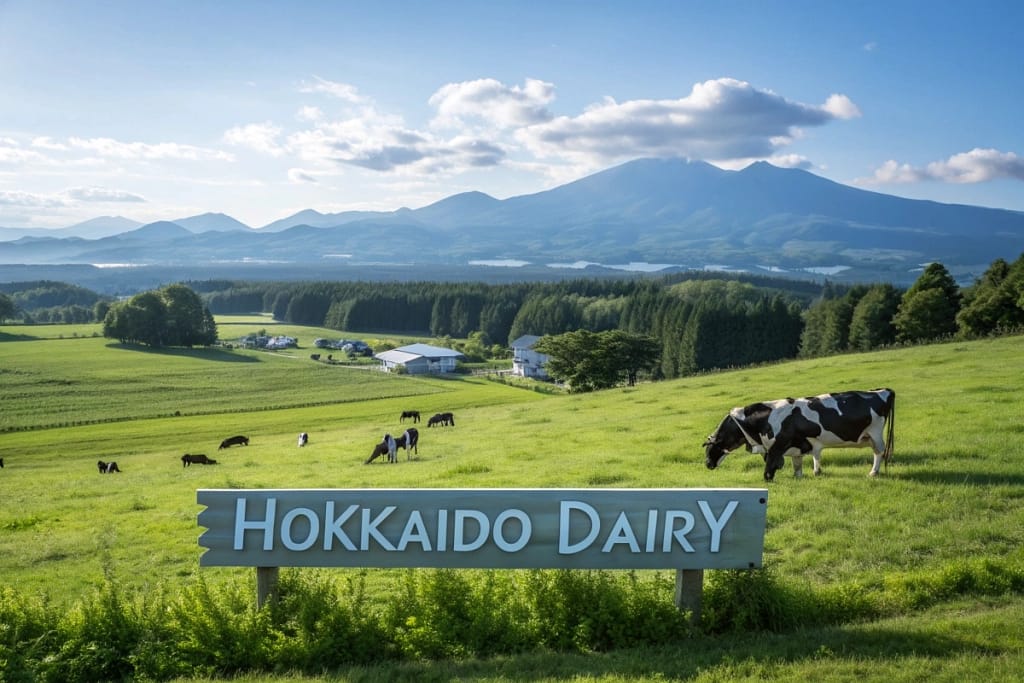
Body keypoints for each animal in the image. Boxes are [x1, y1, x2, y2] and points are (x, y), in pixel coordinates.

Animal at [704, 387, 897, 483]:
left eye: (709, 449)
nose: (707, 464)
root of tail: (882, 390)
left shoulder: (777, 447)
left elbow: (769, 468)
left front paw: (768, 480)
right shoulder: (796, 446)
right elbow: (797, 465)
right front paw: (801, 476)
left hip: (875, 434)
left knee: (879, 452)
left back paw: (873, 473)